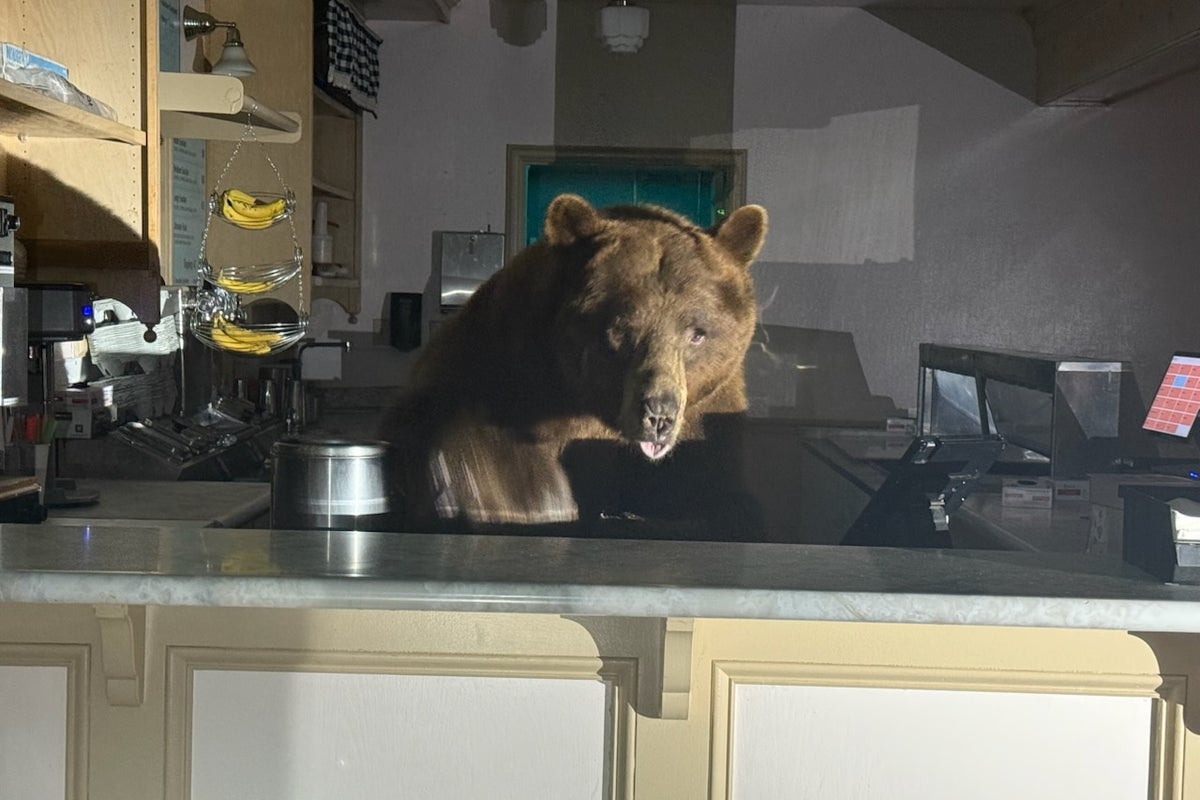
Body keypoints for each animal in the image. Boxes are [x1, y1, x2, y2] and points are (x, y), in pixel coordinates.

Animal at [383, 193, 768, 534]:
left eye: (697, 334)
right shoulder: (503, 373)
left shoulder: (710, 408)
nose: (659, 416)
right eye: (620, 329)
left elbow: (714, 487)